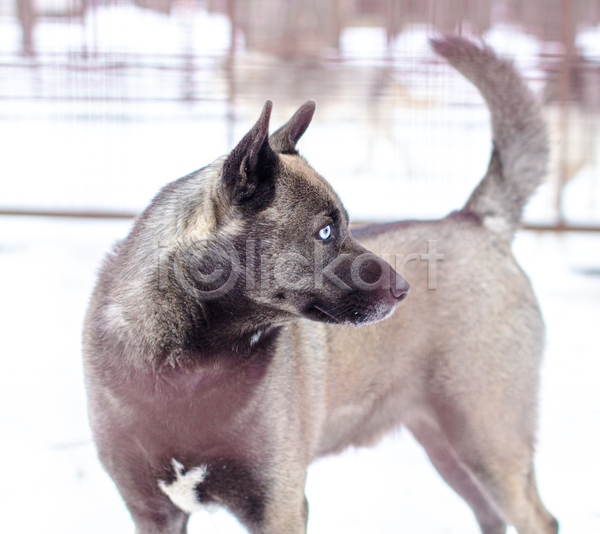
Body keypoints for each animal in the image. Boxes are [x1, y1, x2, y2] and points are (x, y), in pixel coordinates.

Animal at [83, 35, 556, 532]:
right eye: (326, 231)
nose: (405, 289)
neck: (189, 366)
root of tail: (477, 221)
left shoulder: (280, 506)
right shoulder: (154, 513)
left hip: (489, 445)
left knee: (538, 519)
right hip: (450, 451)